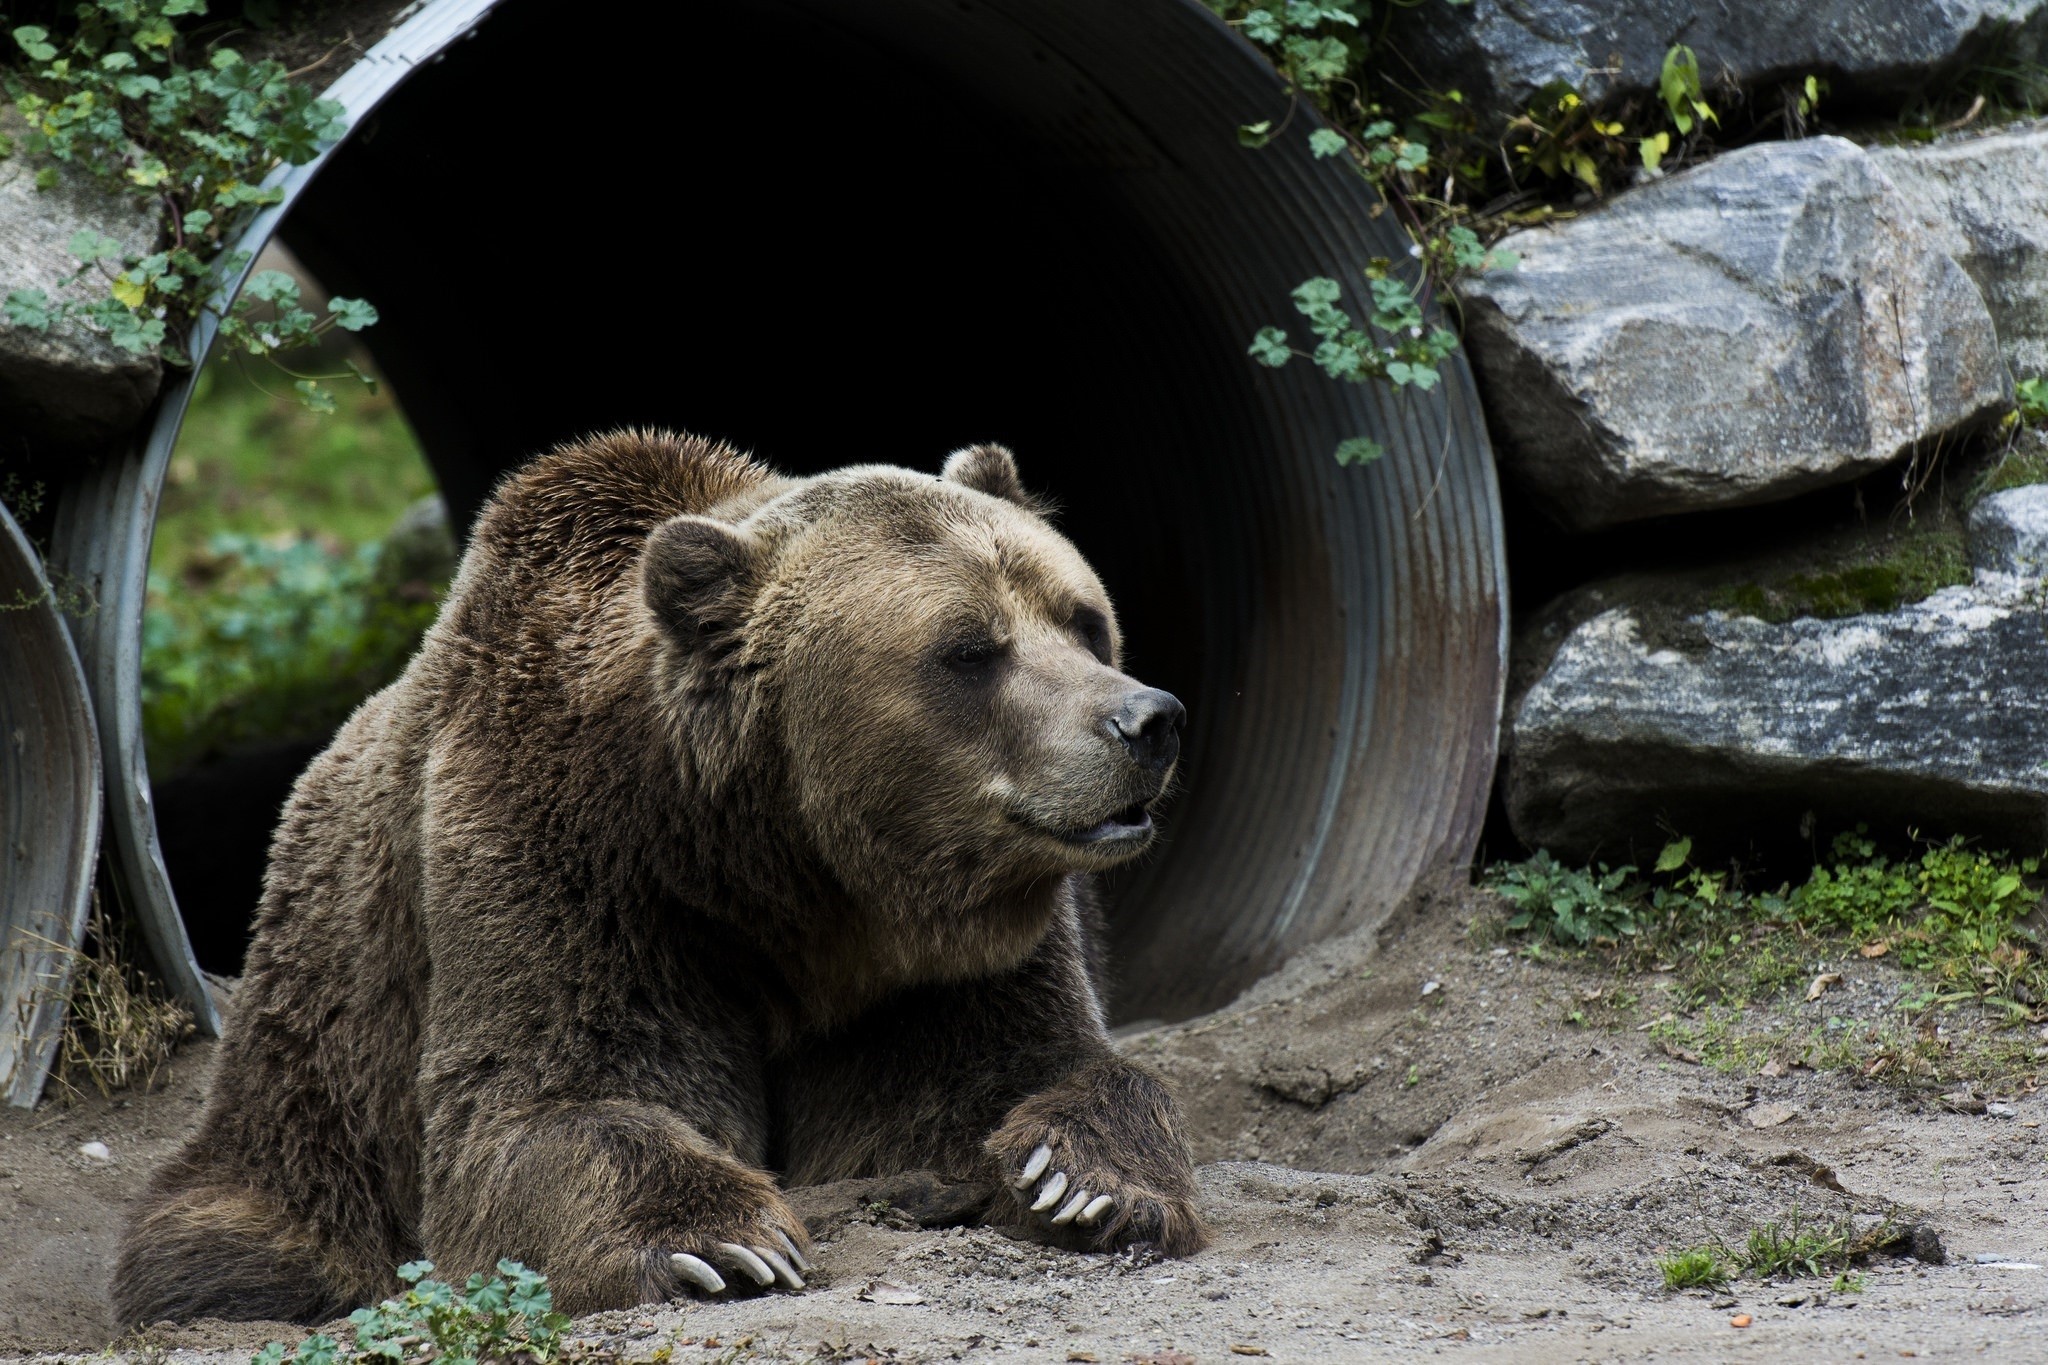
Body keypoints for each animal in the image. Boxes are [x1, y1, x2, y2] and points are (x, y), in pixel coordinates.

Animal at [111, 429, 1206, 1325]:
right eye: (971, 649)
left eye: (1083, 620)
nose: (1145, 720)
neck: (790, 876)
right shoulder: (574, 864)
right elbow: (553, 1099)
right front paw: (718, 1240)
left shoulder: (940, 960)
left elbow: (1012, 1068)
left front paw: (1085, 1180)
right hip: (323, 1040)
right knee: (259, 1215)